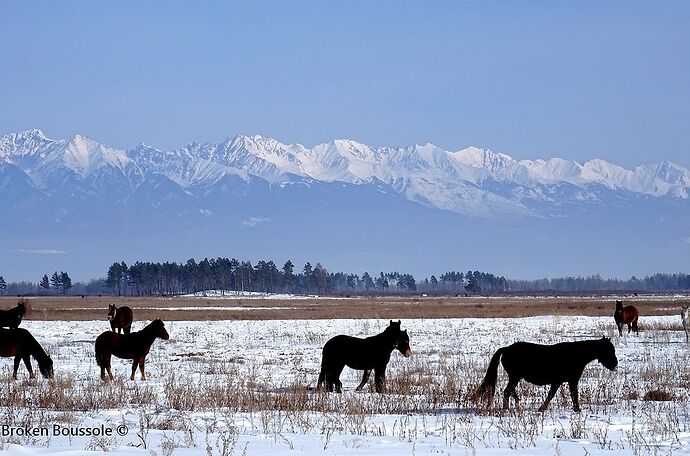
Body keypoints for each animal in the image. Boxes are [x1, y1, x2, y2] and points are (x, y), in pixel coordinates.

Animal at [476, 334, 616, 414]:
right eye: (608, 350)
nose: (615, 364)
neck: (576, 355)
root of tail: (506, 349)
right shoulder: (568, 381)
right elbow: (567, 395)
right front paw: (577, 410)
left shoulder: (562, 381)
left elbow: (558, 395)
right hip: (515, 376)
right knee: (507, 391)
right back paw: (507, 408)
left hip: (515, 377)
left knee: (510, 391)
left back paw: (516, 404)